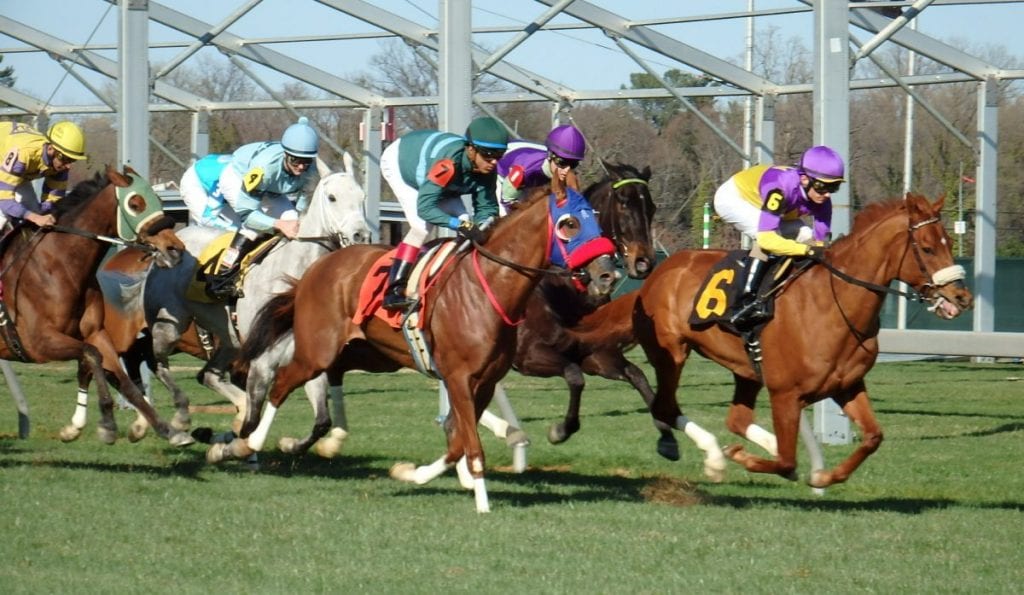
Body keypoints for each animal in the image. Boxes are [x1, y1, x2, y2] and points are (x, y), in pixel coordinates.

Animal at [0, 164, 190, 442]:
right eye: (135, 203)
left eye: (158, 200)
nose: (175, 249)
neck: (57, 267)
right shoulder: (37, 343)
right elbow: (92, 355)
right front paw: (107, 422)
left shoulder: (96, 333)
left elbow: (122, 379)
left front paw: (166, 428)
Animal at [217, 186, 614, 510]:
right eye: (568, 224)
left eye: (596, 219)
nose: (608, 274)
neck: (489, 290)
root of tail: (316, 268)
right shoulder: (459, 378)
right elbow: (470, 444)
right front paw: (483, 502)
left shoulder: (484, 381)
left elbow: (457, 443)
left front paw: (411, 473)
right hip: (318, 350)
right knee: (281, 383)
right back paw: (246, 444)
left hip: (365, 354)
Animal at [634, 192, 970, 485]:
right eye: (927, 248)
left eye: (948, 241)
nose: (961, 297)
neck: (833, 305)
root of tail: (664, 267)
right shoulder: (785, 393)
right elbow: (786, 461)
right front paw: (742, 456)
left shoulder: (847, 385)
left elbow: (873, 437)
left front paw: (823, 476)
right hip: (672, 353)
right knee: (665, 407)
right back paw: (715, 457)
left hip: (746, 369)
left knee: (736, 420)